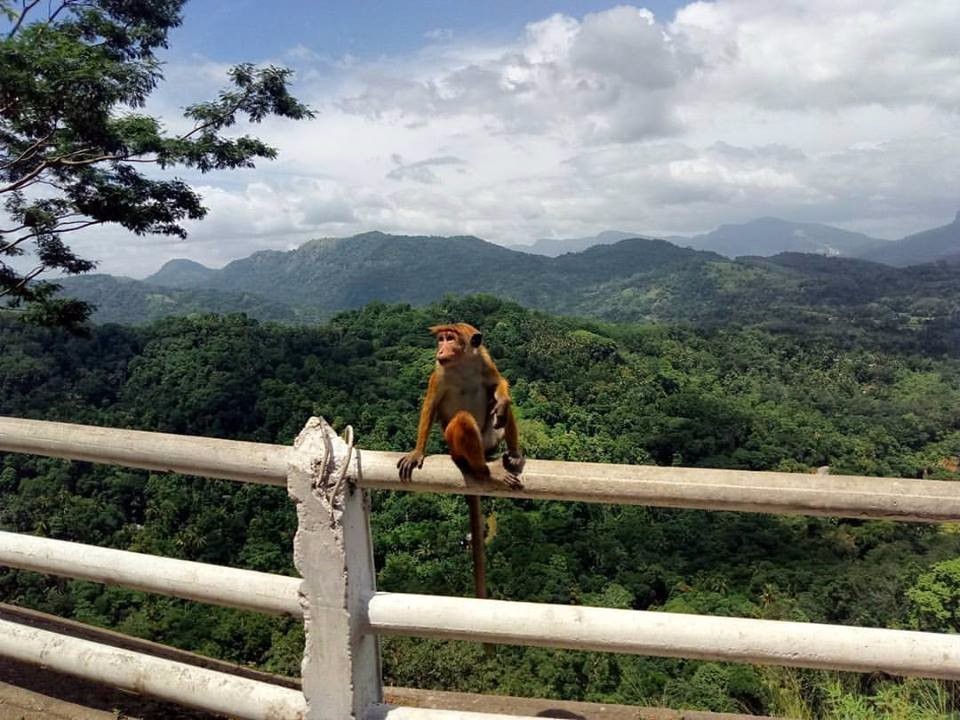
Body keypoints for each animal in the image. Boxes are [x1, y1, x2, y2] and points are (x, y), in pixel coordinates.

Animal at [398, 324, 524, 600]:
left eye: (450, 338)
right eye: (441, 339)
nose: (440, 349)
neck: (463, 363)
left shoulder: (485, 359)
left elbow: (498, 383)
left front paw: (502, 399)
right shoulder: (439, 372)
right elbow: (430, 406)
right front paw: (417, 452)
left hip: (490, 437)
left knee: (502, 409)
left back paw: (513, 452)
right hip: (456, 446)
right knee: (463, 421)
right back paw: (485, 471)